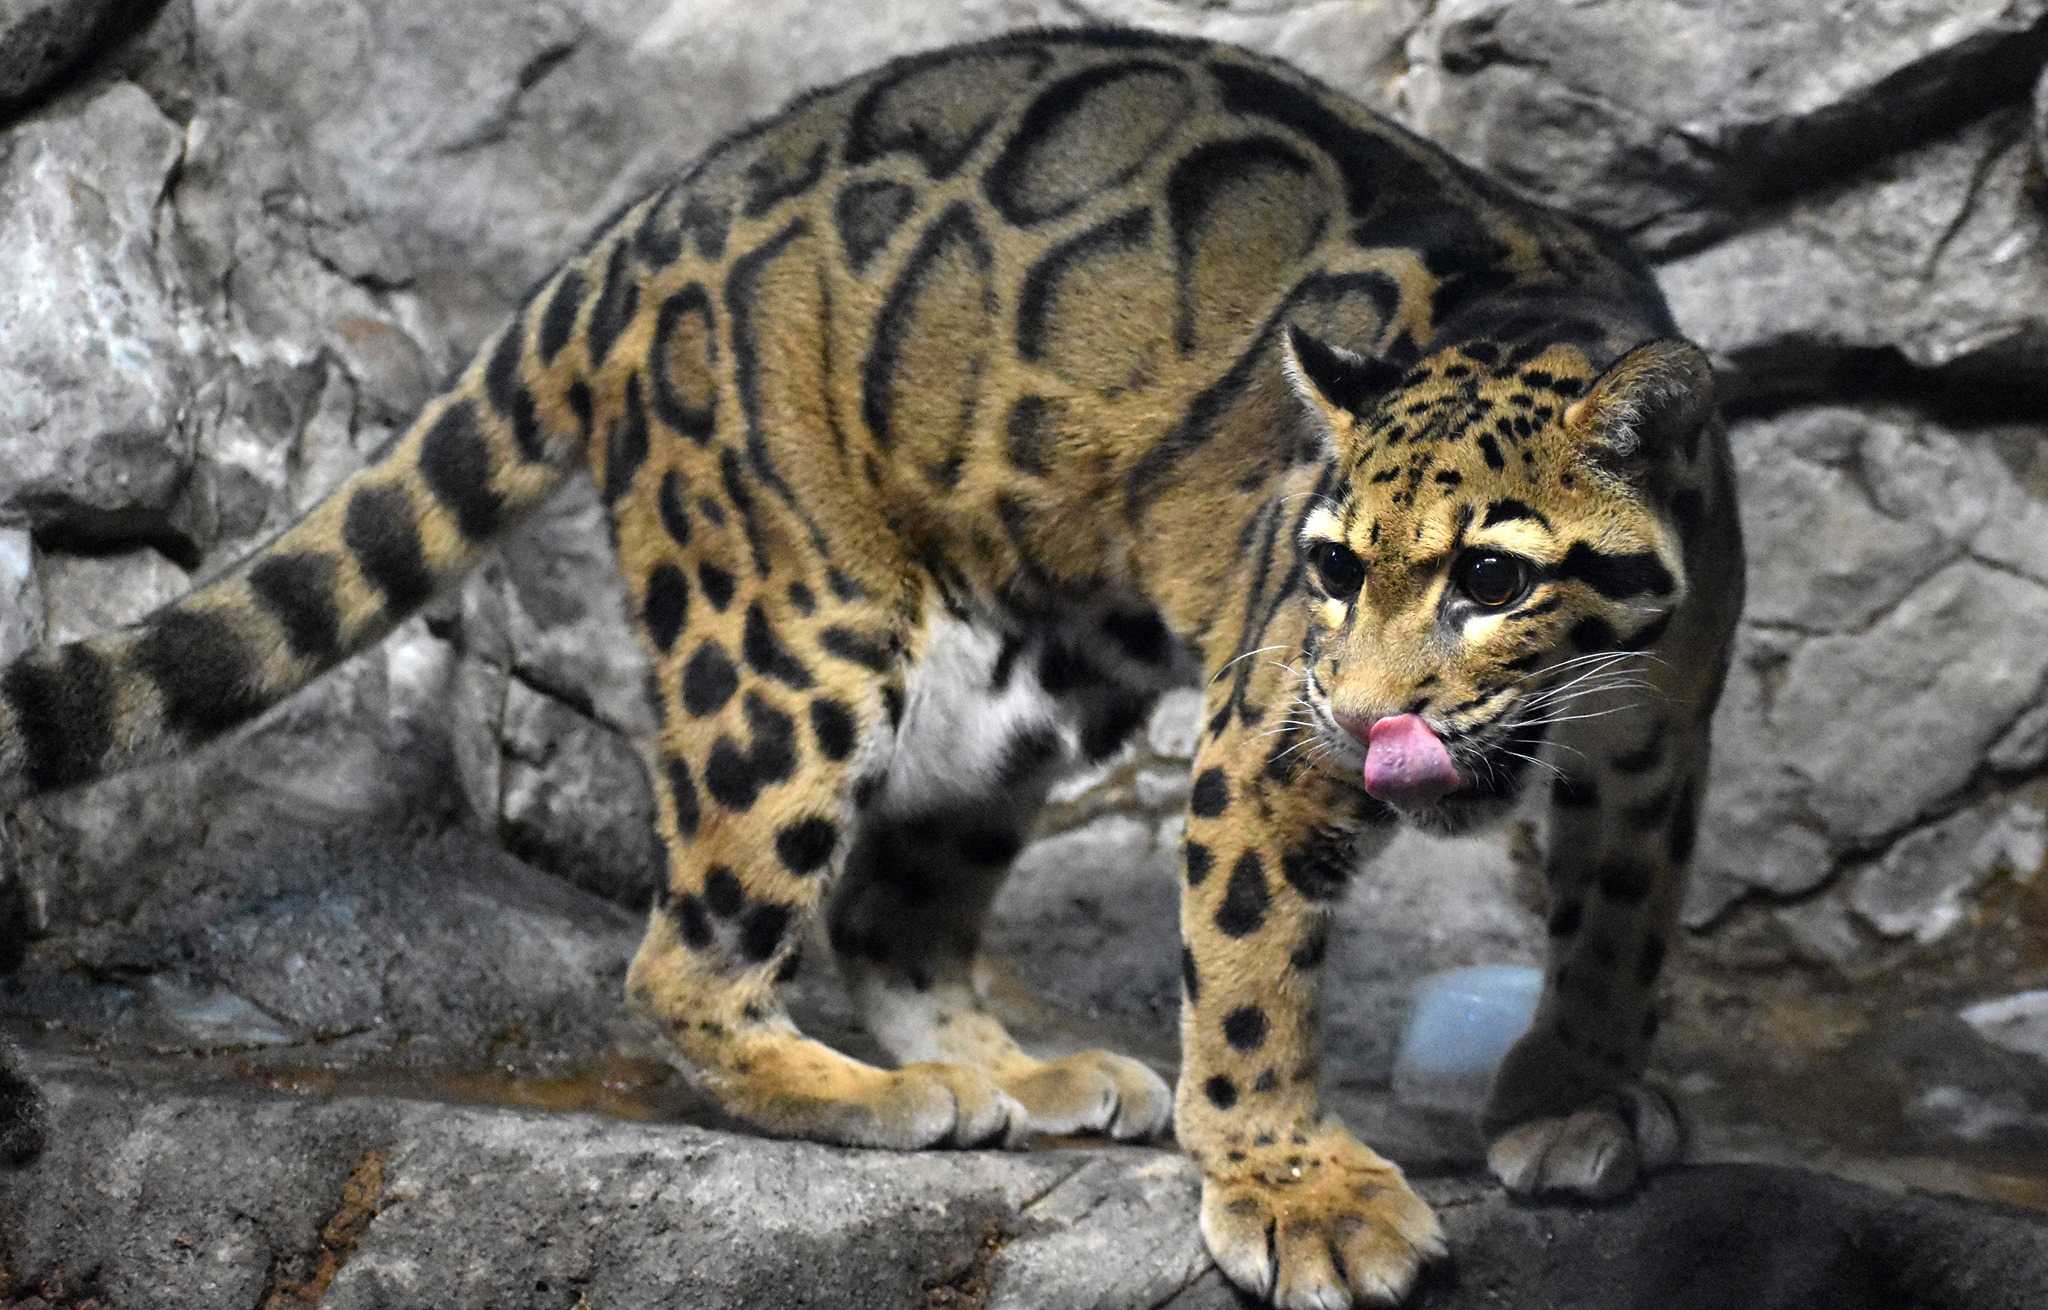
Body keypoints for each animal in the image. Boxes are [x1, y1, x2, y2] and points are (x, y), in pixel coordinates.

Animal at [0, 28, 1743, 1308]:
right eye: (1330, 568)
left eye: (1490, 577)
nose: (1368, 713)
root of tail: (652, 213)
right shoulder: (1261, 740)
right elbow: (1250, 980)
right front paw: (1295, 1190)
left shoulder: (1658, 742)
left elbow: (1620, 923)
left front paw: (1580, 1093)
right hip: (791, 638)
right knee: (686, 955)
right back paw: (872, 1095)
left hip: (1032, 676)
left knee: (895, 904)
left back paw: (1019, 1066)